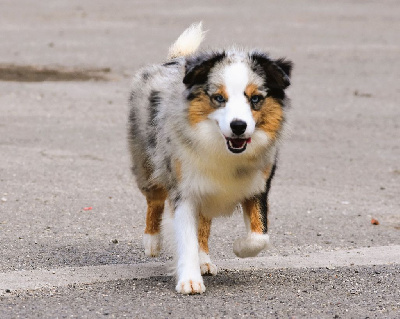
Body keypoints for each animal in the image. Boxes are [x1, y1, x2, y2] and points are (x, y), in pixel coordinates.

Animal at [127, 23, 290, 296]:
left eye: (255, 99)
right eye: (219, 98)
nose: (238, 126)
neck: (223, 150)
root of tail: (173, 60)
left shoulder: (258, 185)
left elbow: (259, 235)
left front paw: (239, 248)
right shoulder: (184, 187)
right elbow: (186, 237)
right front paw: (189, 281)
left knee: (203, 224)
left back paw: (203, 259)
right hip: (147, 161)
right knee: (155, 197)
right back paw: (152, 241)